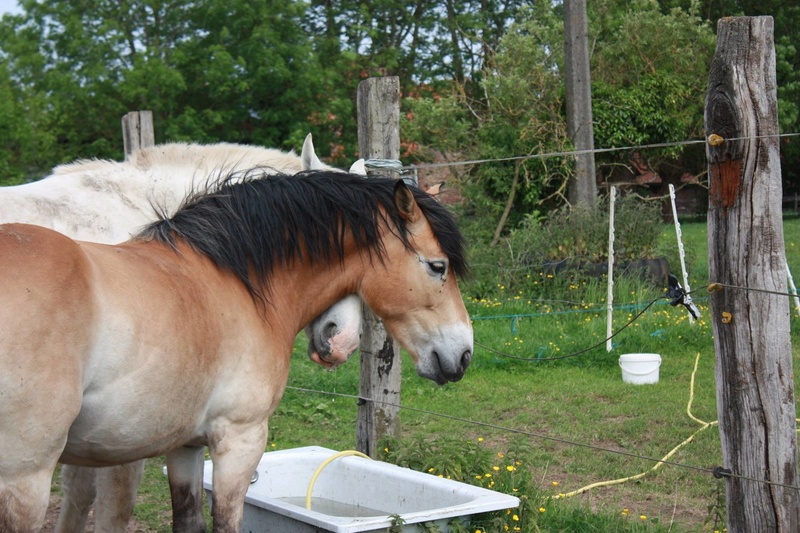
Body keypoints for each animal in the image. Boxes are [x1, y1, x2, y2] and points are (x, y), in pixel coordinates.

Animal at [0, 170, 472, 532]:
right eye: (438, 266)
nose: (463, 354)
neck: (234, 281)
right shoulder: (240, 442)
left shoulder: (186, 447)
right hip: (26, 478)